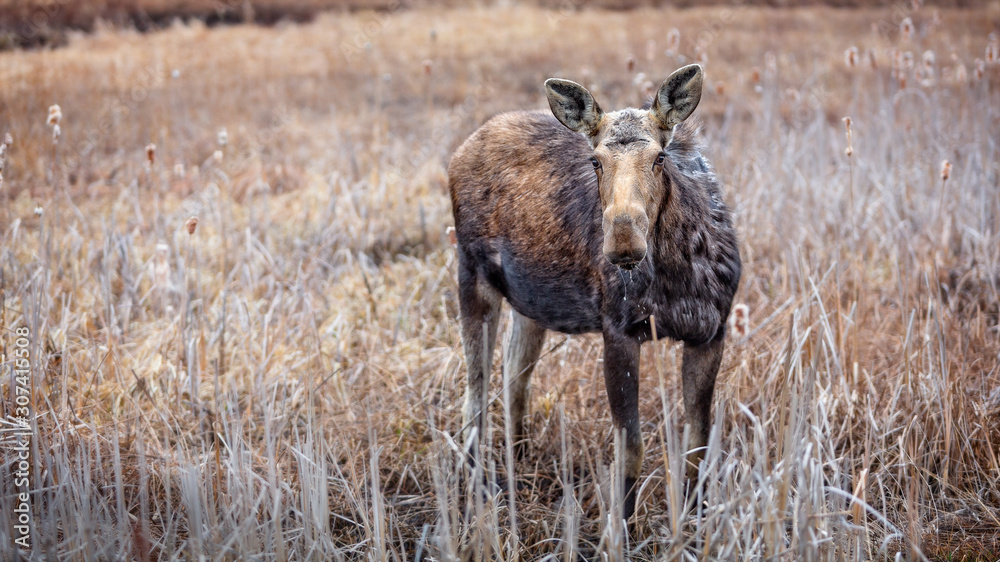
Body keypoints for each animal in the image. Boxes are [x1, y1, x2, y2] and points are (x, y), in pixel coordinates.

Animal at [447, 64, 741, 521]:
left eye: (659, 158)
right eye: (595, 160)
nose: (623, 241)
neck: (678, 272)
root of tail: (461, 152)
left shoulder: (711, 332)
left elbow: (698, 445)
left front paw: (695, 518)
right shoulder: (618, 329)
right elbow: (631, 451)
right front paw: (622, 525)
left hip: (530, 304)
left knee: (514, 379)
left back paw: (519, 461)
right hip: (471, 274)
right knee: (474, 396)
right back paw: (480, 491)